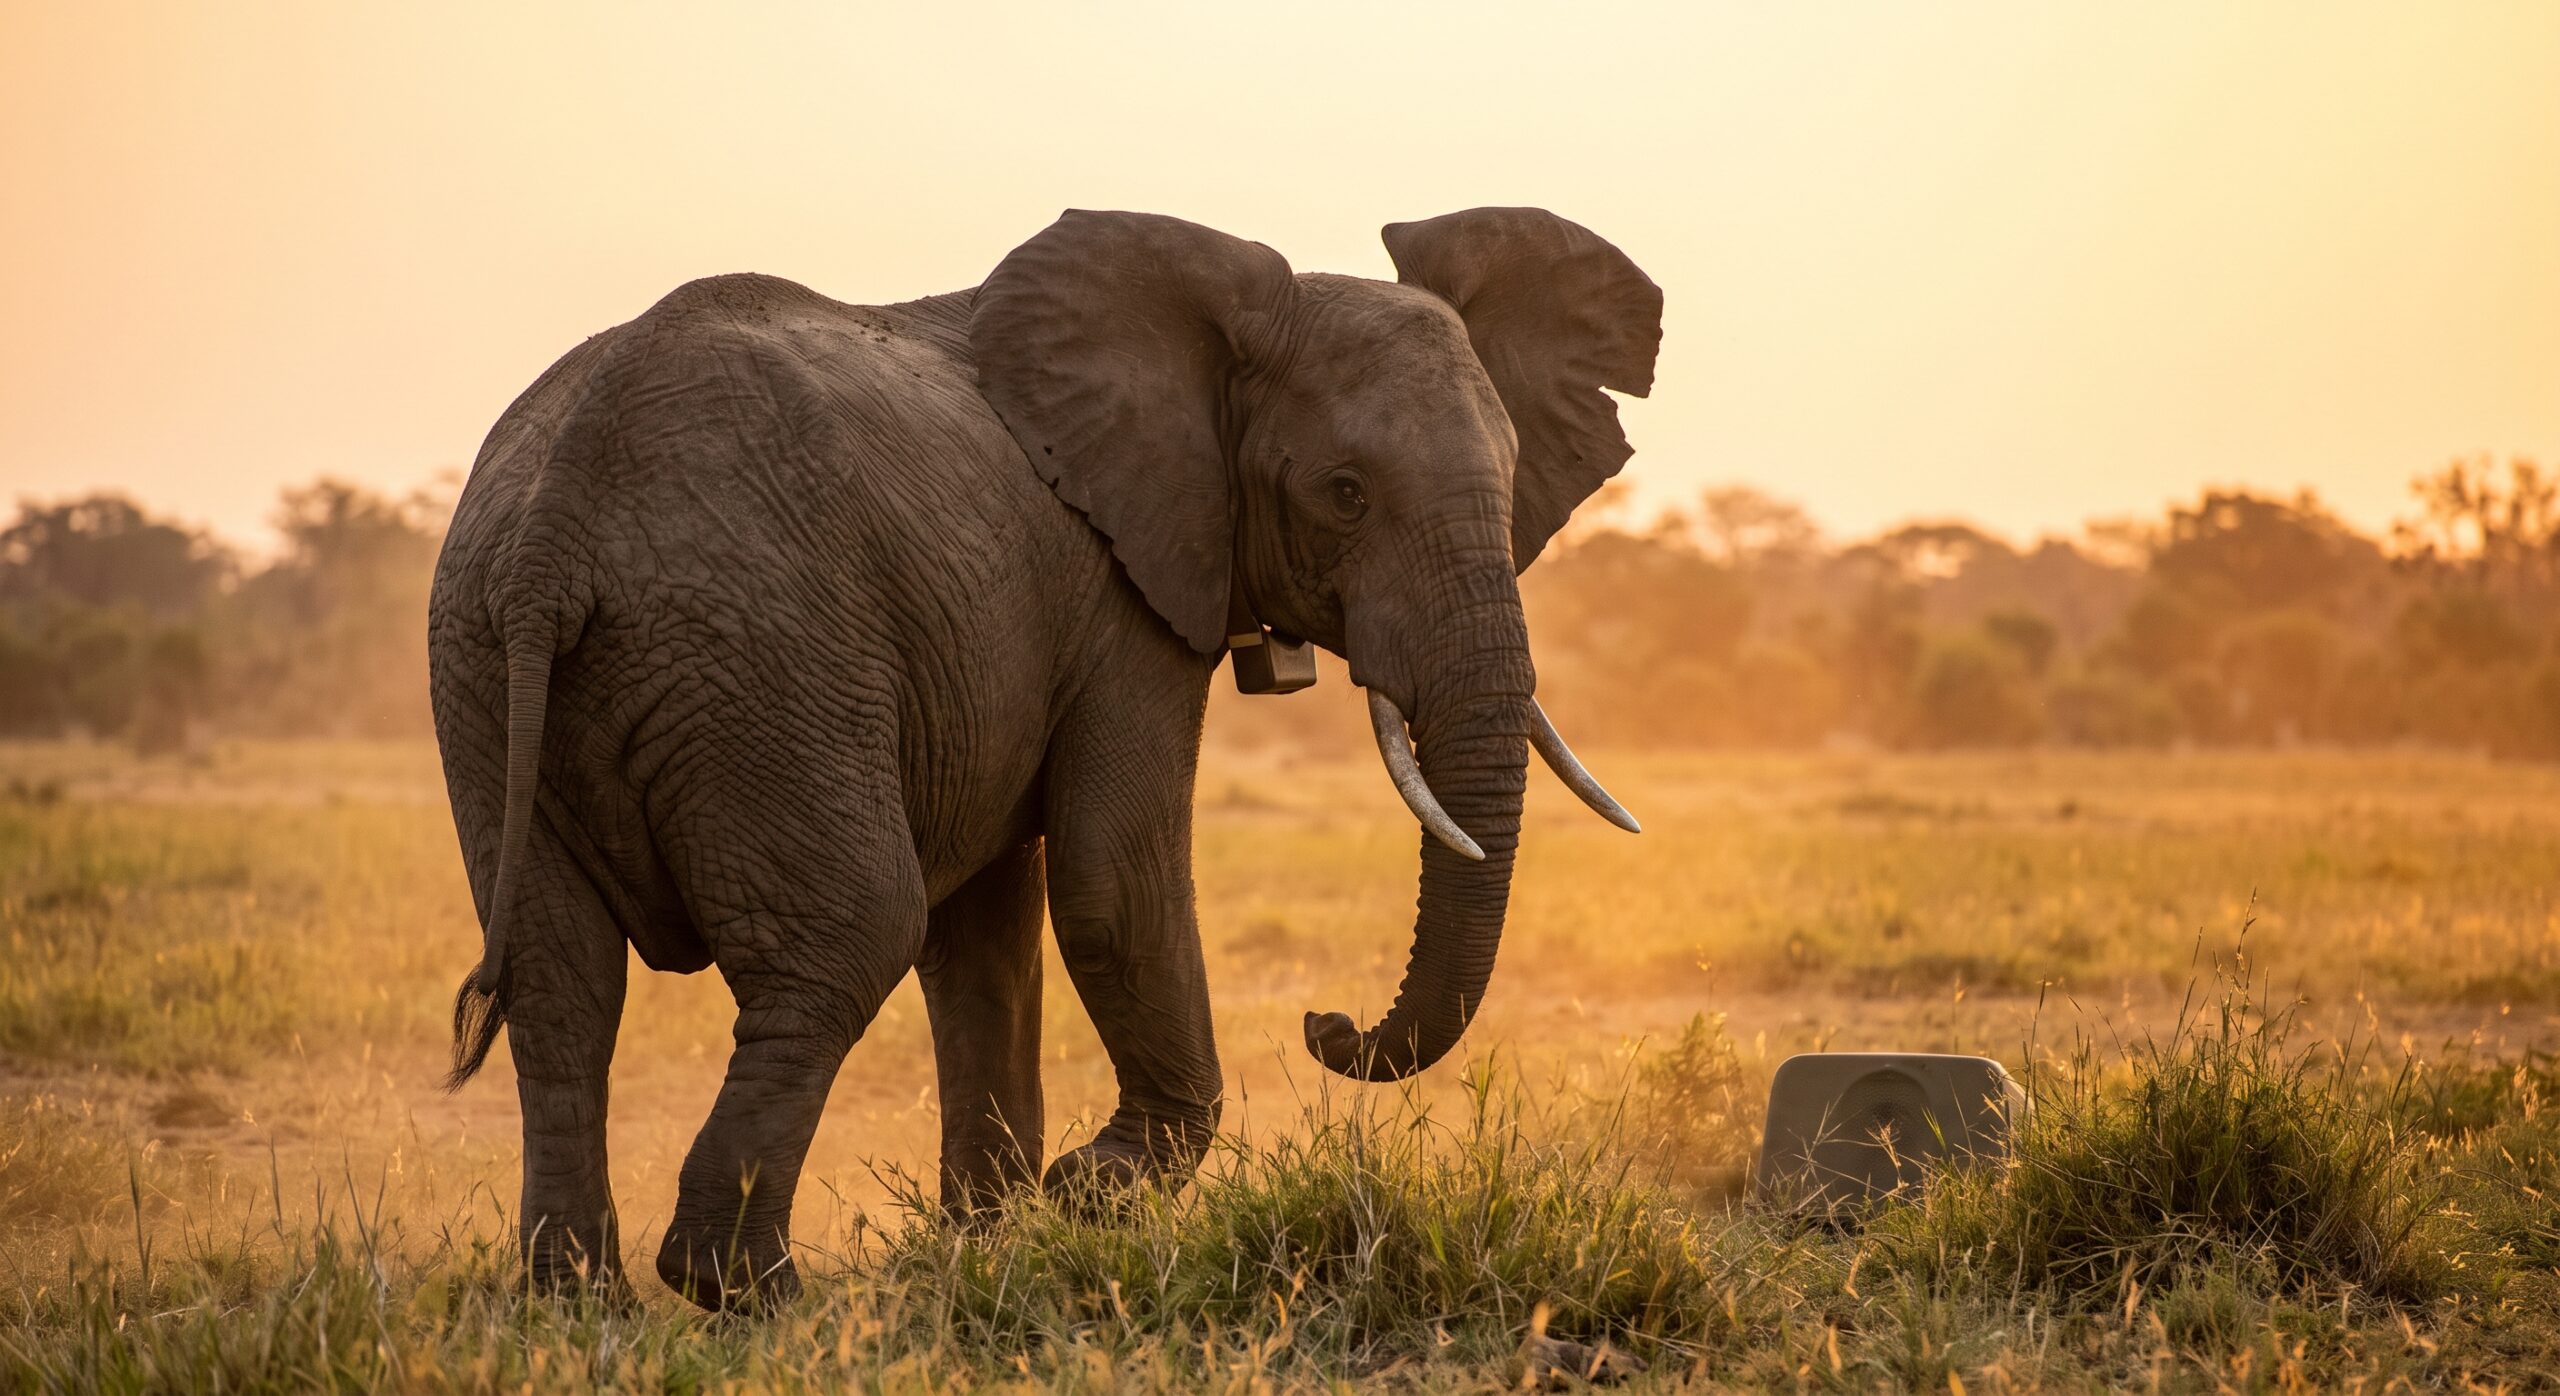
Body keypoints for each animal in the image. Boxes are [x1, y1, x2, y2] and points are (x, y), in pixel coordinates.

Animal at [428, 206, 1663, 1310]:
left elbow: (988, 935)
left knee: (562, 982)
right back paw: (753, 1293)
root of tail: (558, 525)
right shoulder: (1123, 595)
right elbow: (1115, 883)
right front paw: (1083, 1194)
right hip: (758, 657)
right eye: (1344, 493)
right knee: (846, 938)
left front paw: (995, 1240)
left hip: (488, 672)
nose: (1328, 1027)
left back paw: (579, 1305)